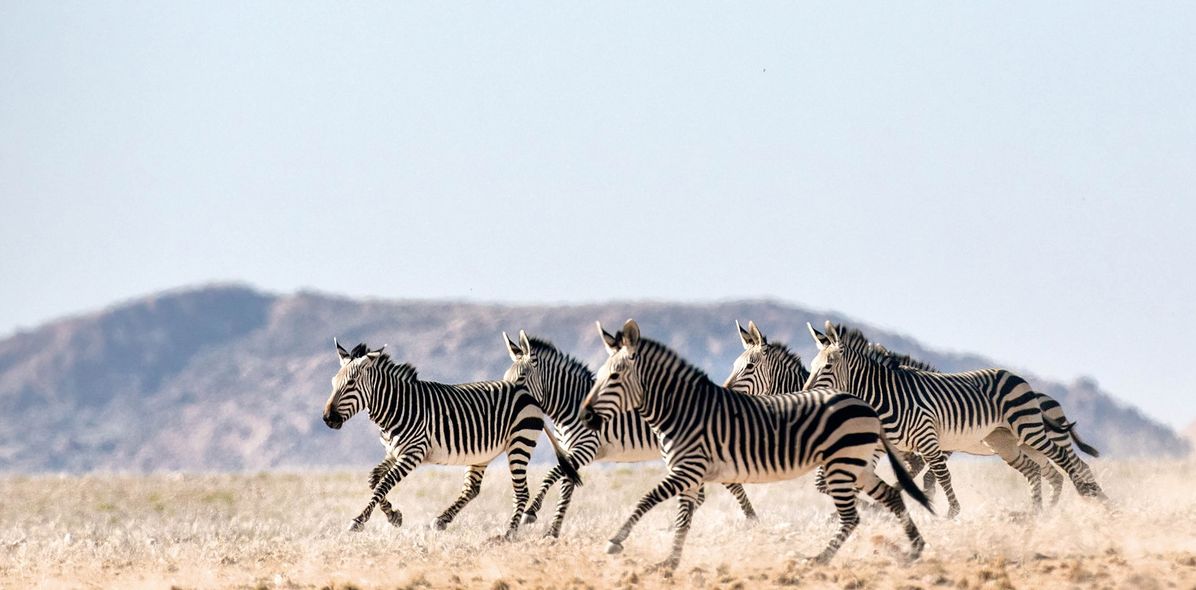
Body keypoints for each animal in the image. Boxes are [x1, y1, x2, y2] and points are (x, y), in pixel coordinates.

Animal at [318, 337, 578, 536]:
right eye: (332, 382)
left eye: (351, 383)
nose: (328, 418)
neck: (397, 406)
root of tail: (527, 393)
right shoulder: (393, 452)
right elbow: (374, 480)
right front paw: (394, 515)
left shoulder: (413, 452)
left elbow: (383, 484)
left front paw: (359, 520)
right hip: (483, 453)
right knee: (472, 489)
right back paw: (443, 520)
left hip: (519, 443)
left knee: (521, 492)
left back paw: (508, 535)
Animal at [502, 327, 760, 536]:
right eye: (506, 377)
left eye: (521, 378)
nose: (506, 398)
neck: (570, 404)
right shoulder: (569, 452)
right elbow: (566, 488)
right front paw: (553, 532)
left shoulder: (586, 448)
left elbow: (551, 474)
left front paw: (532, 512)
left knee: (729, 485)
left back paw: (751, 520)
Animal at [574, 323, 928, 569]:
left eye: (614, 377)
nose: (585, 415)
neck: (683, 409)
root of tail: (864, 405)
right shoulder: (692, 474)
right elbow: (684, 517)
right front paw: (669, 562)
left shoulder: (689, 469)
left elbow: (647, 498)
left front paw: (616, 541)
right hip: (855, 464)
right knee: (893, 494)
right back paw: (914, 548)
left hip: (846, 463)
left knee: (858, 512)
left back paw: (820, 558)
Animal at [722, 320, 1095, 502]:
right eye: (736, 364)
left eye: (749, 367)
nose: (724, 392)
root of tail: (1043, 395)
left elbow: (927, 477)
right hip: (1010, 444)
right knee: (1049, 474)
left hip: (1031, 435)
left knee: (1073, 466)